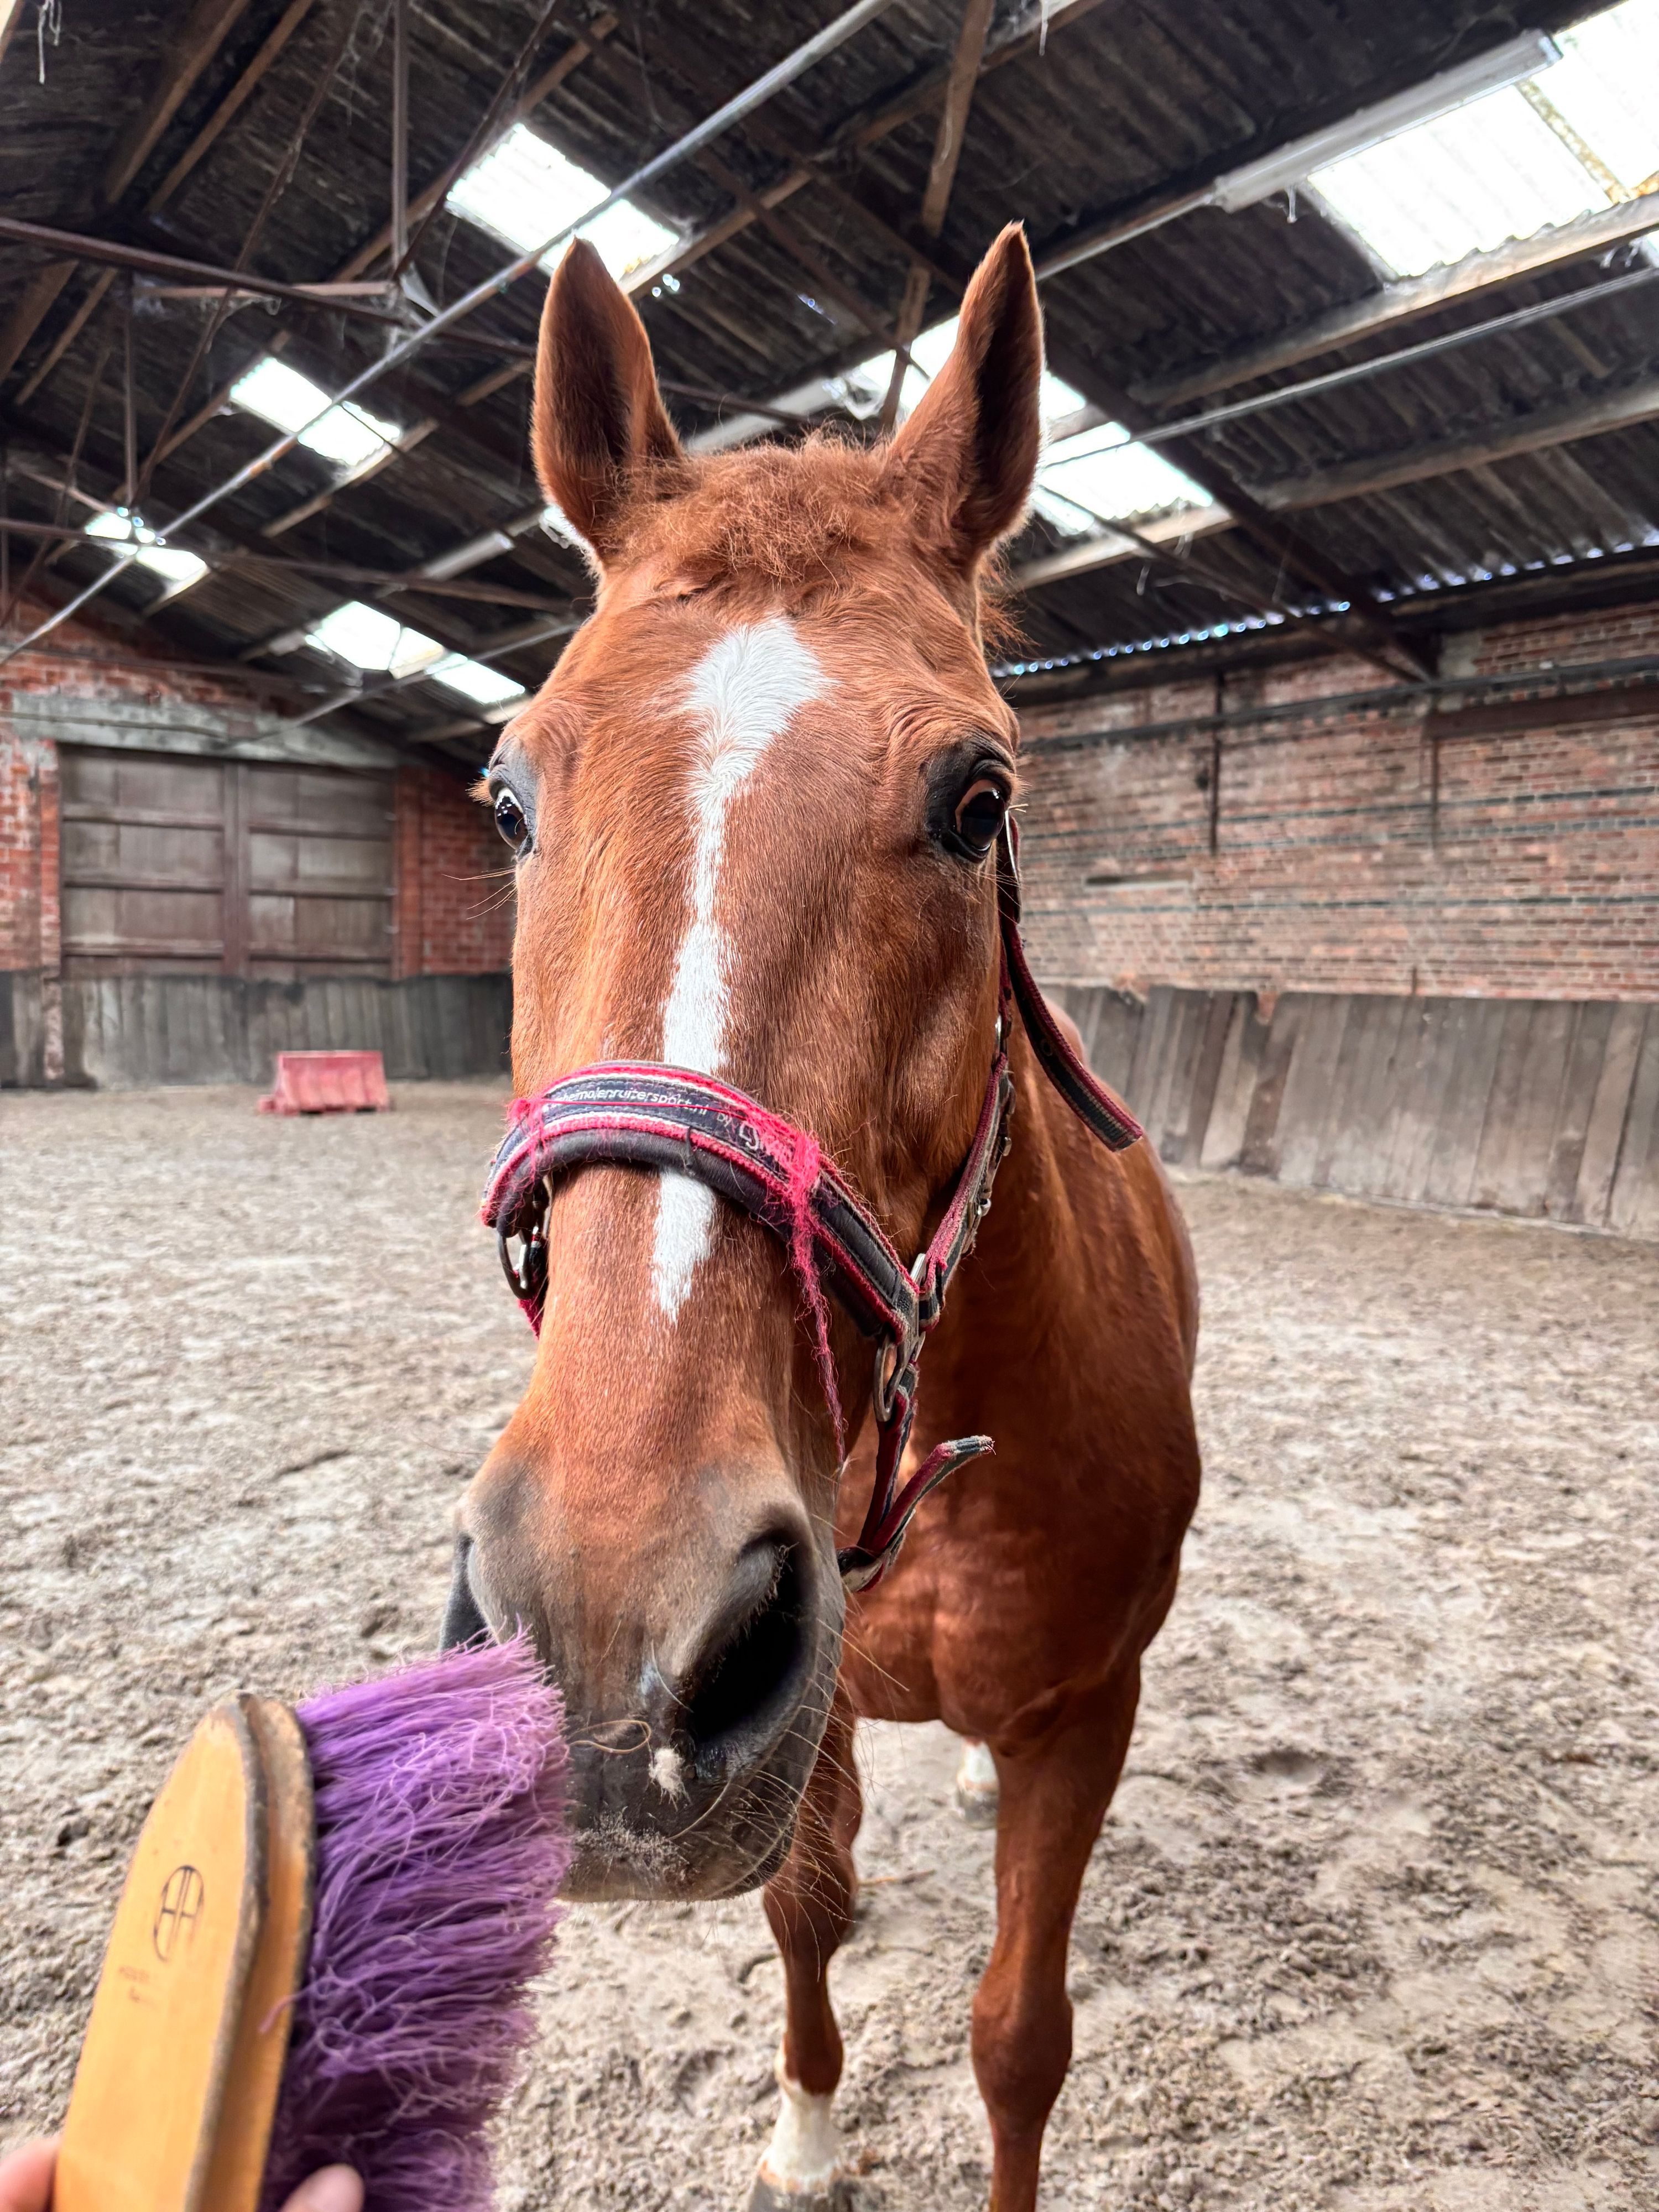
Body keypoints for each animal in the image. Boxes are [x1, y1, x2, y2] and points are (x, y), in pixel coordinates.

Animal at [443, 222, 1202, 2212]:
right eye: (506, 799)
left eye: (978, 798)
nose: (607, 1632)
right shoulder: (817, 1711)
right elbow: (806, 1912)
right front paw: (800, 2134)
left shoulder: (1086, 1716)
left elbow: (1021, 2036)